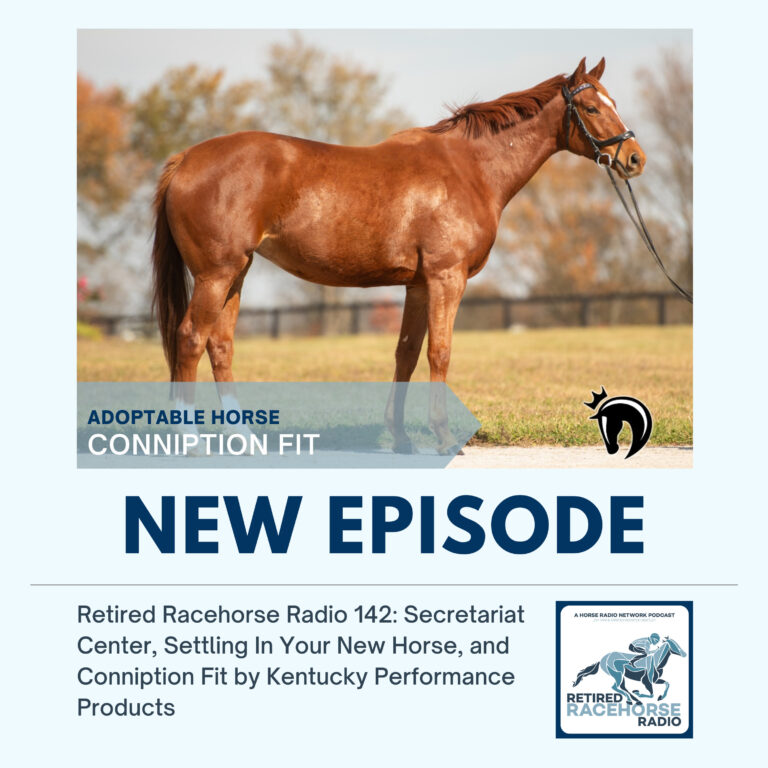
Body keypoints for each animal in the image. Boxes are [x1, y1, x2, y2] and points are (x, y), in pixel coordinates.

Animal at [151, 57, 645, 453]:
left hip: (236, 274)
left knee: (220, 345)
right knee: (191, 338)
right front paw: (443, 436)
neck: (469, 169)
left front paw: (402, 438)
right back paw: (189, 440)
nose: (635, 158)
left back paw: (244, 439)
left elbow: (406, 352)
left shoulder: (419, 284)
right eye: (592, 108)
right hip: (216, 275)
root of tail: (186, 159)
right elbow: (440, 352)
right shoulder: (447, 278)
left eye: (614, 101)